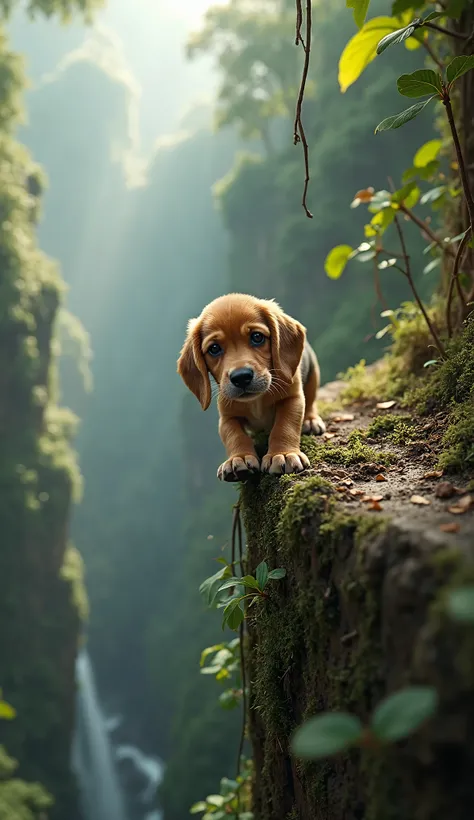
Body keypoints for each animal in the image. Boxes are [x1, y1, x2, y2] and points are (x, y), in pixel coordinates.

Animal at [178, 294, 326, 480]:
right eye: (214, 348)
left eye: (257, 337)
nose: (241, 377)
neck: (256, 401)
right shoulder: (227, 417)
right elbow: (235, 436)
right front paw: (239, 458)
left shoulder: (292, 399)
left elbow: (284, 426)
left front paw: (282, 454)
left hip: (314, 373)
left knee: (311, 401)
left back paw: (310, 420)